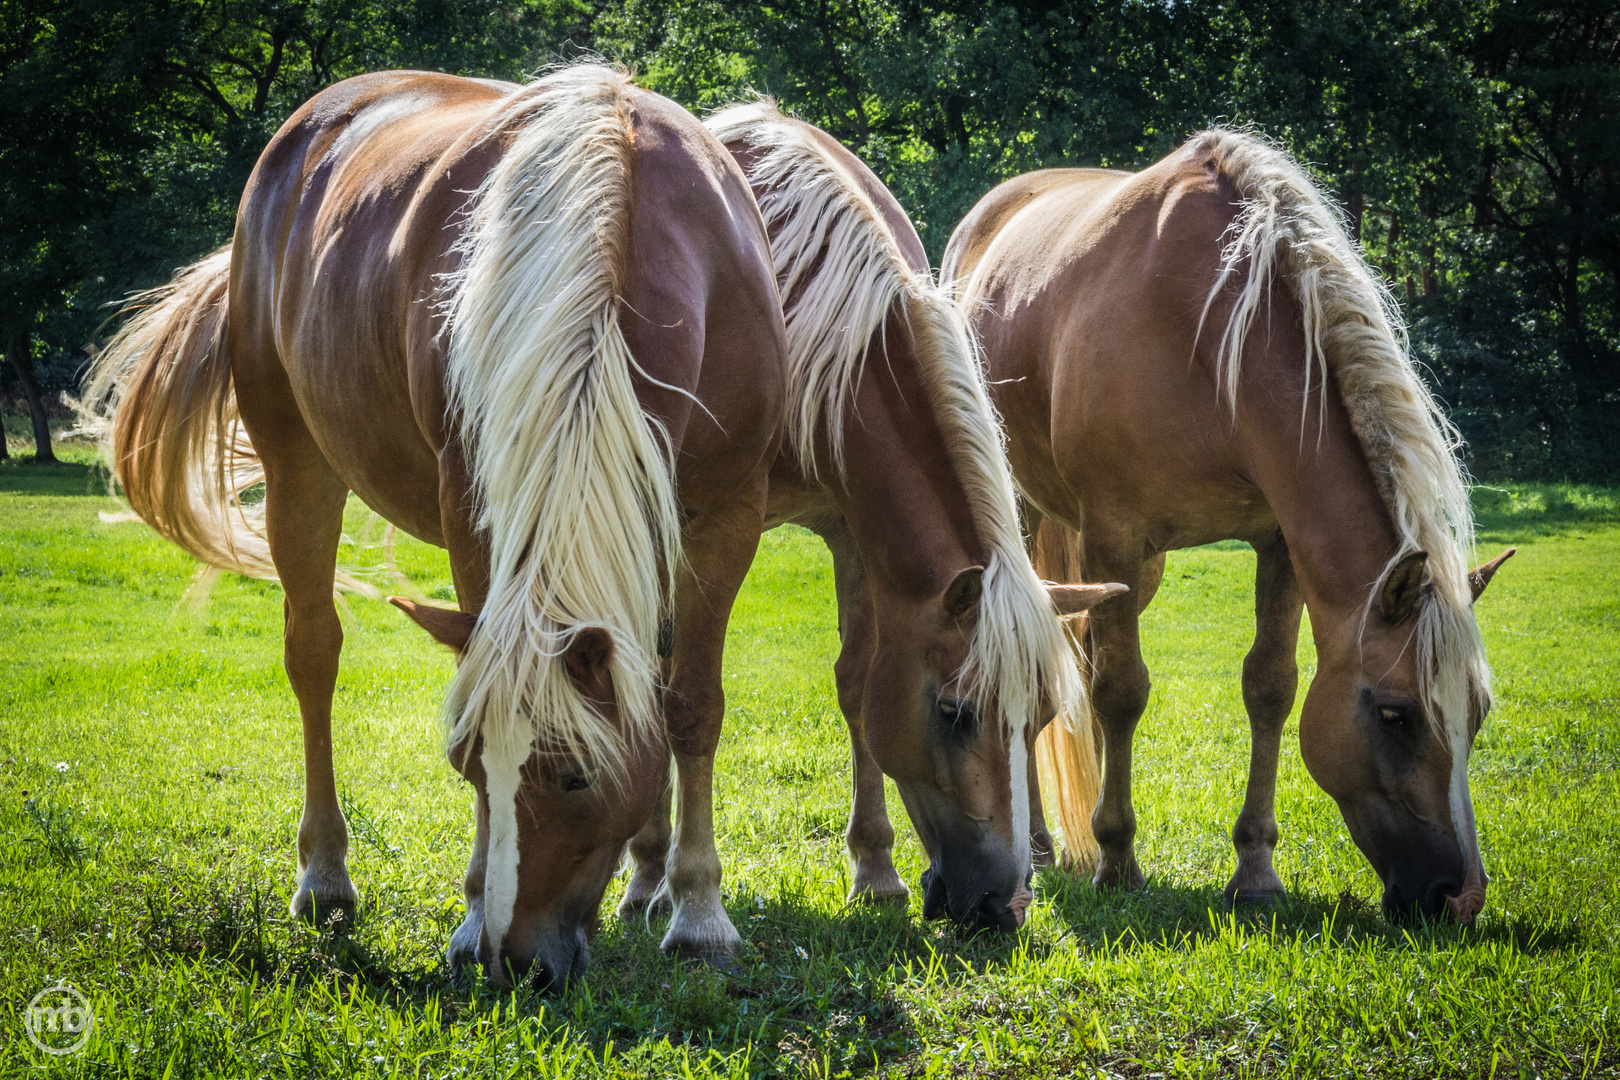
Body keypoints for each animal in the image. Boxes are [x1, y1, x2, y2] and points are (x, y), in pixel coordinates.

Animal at [83, 63, 790, 984]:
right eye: (466, 766)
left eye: (573, 778)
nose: (516, 962)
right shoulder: (473, 506)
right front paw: (473, 911)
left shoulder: (727, 514)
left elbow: (688, 703)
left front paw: (696, 908)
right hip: (296, 461)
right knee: (313, 654)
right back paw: (325, 877)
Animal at [602, 103, 1121, 945]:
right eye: (956, 713)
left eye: (1041, 715)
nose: (1002, 907)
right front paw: (668, 887)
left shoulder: (858, 532)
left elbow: (856, 683)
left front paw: (875, 868)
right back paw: (646, 872)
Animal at [939, 127, 1516, 919]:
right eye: (1396, 714)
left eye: (1478, 712)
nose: (1458, 896)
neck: (1205, 341)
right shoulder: (1115, 536)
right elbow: (1122, 690)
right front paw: (1117, 859)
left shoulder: (1278, 544)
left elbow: (1269, 686)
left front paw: (1255, 868)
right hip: (1032, 521)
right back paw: (1042, 846)